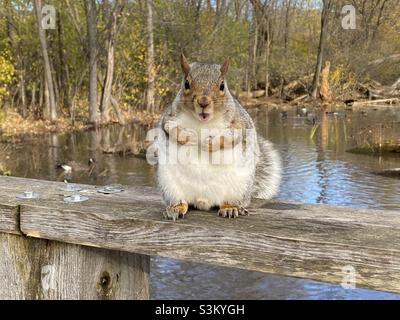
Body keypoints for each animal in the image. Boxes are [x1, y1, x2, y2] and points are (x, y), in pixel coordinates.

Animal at [151, 54, 282, 220]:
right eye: (186, 83)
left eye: (222, 86)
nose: (203, 102)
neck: (203, 122)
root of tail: (203, 202)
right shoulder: (169, 117)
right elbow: (171, 129)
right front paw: (189, 137)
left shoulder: (238, 122)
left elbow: (232, 136)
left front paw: (208, 143)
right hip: (170, 186)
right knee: (183, 201)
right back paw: (176, 208)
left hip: (239, 187)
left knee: (227, 201)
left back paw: (230, 208)